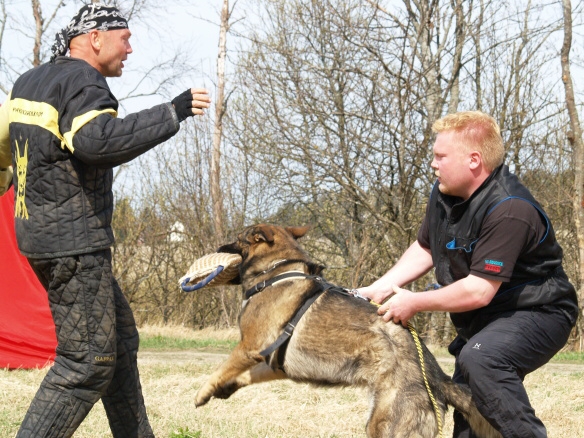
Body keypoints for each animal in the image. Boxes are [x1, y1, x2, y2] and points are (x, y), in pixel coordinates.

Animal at [194, 226, 500, 438]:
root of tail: (437, 378)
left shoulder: (248, 347)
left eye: (238, 239)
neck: (276, 271)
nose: (218, 246)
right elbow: (243, 375)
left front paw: (201, 392)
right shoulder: (273, 362)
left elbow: (220, 369)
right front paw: (225, 388)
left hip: (385, 427)